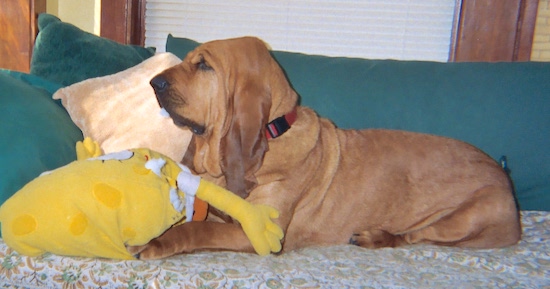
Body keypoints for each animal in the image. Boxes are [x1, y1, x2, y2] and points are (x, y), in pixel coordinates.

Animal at [127, 36, 524, 258]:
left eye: (204, 65)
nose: (153, 83)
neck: (274, 132)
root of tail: (504, 174)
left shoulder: (259, 231)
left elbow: (196, 230)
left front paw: (154, 241)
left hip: (464, 221)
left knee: (415, 236)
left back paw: (376, 236)